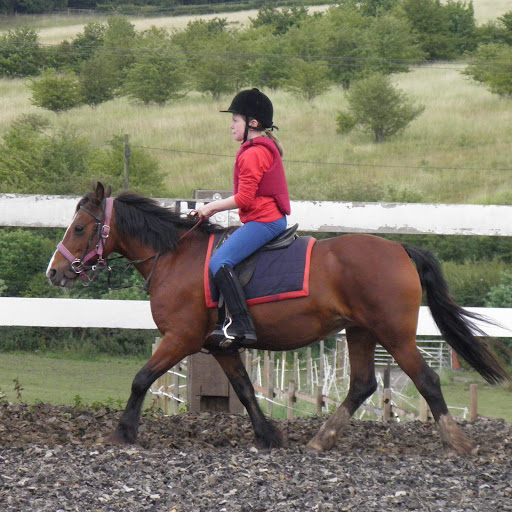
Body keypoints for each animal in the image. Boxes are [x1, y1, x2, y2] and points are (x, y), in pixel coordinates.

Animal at [46, 182, 510, 454]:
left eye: (80, 228)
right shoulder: (220, 346)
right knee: (362, 384)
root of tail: (398, 248)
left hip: (394, 333)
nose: (55, 271)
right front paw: (268, 436)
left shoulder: (182, 338)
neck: (175, 257)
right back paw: (322, 440)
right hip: (360, 331)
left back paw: (458, 441)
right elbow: (246, 389)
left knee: (425, 380)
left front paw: (122, 433)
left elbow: (141, 379)